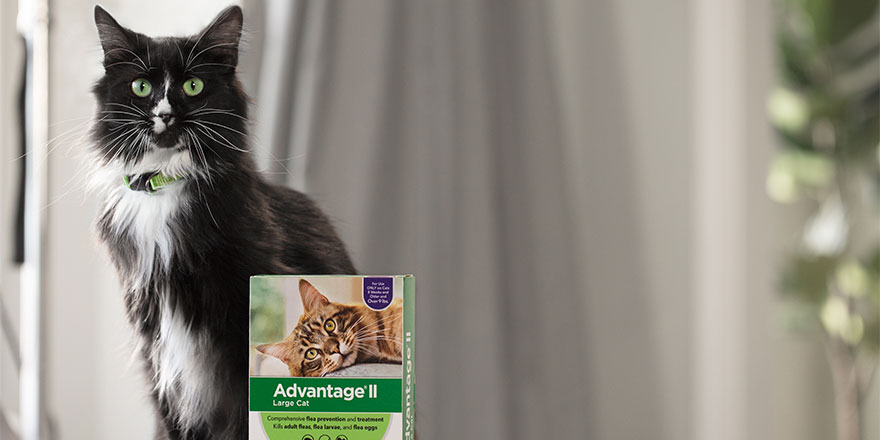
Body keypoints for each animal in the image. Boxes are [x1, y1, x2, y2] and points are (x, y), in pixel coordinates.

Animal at [91, 6, 356, 440]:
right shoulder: (154, 343)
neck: (165, 185)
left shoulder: (236, 331)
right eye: (141, 86)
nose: (165, 115)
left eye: (194, 85)